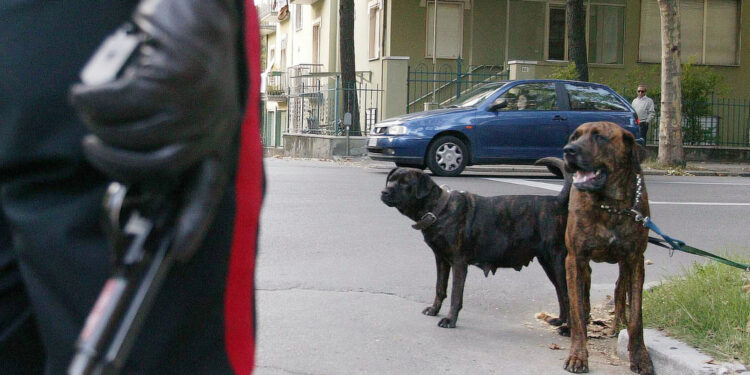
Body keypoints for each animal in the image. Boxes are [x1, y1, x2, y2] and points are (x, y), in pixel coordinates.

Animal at [384, 159, 572, 332]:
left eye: (405, 183)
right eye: (391, 180)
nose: (384, 191)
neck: (440, 209)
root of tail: (557, 201)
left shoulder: (459, 263)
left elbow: (455, 295)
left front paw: (450, 319)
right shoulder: (441, 260)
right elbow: (440, 288)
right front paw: (434, 309)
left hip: (557, 263)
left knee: (569, 295)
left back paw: (568, 330)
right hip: (548, 264)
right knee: (561, 294)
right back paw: (560, 320)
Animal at [560, 122, 656, 374]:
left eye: (600, 137)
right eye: (574, 136)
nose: (568, 150)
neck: (611, 205)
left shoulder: (635, 259)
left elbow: (637, 316)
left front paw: (640, 357)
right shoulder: (575, 258)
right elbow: (576, 310)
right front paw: (578, 355)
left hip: (625, 264)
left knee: (619, 289)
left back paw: (617, 323)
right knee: (585, 295)